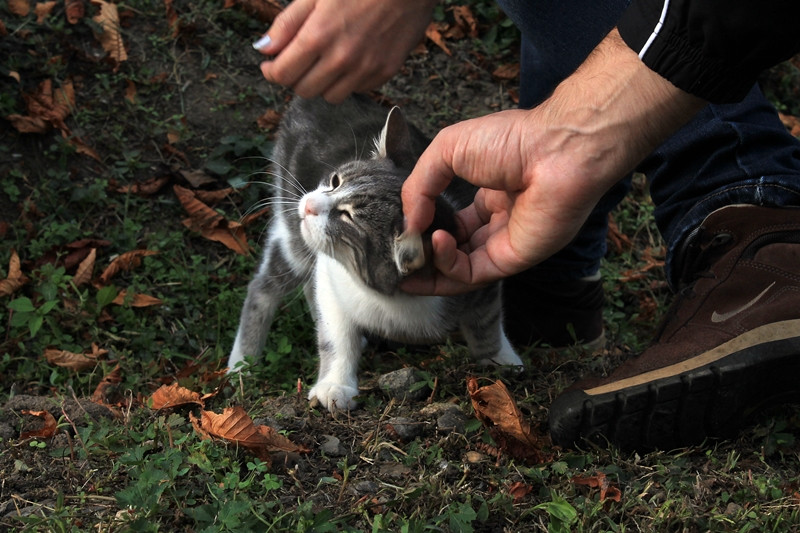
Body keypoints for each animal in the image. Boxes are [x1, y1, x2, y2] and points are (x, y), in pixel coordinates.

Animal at [228, 95, 520, 410]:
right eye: (334, 181)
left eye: (348, 217)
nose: (309, 205)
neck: (395, 299)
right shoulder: (331, 276)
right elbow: (336, 333)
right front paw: (335, 384)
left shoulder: (476, 277)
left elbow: (486, 321)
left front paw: (499, 358)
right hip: (292, 230)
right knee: (264, 287)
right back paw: (242, 363)